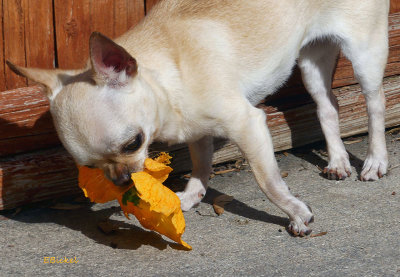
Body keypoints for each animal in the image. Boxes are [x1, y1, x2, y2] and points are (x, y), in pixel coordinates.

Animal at [7, 0, 390, 235]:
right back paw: (338, 161)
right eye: (90, 167)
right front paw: (190, 197)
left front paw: (296, 213)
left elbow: (268, 183)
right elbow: (200, 165)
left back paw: (375, 161)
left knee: (375, 102)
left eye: (134, 143)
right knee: (328, 105)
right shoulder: (197, 131)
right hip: (312, 60)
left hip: (365, 52)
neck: (167, 73)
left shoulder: (248, 126)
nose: (122, 181)